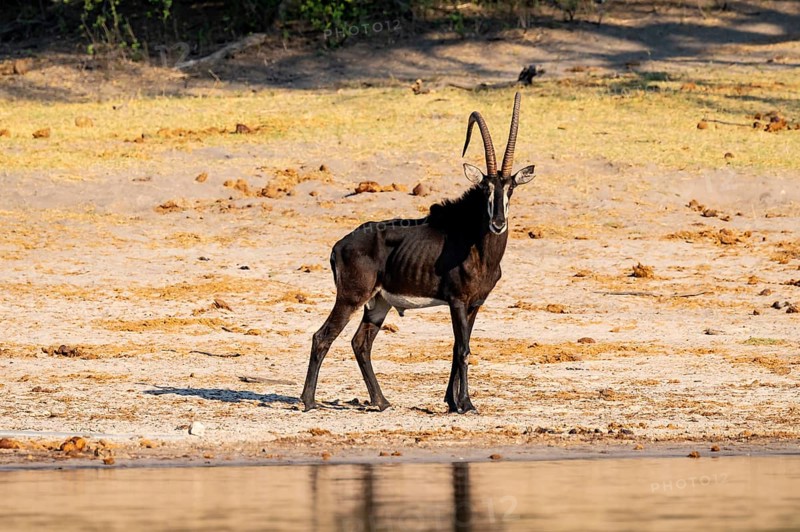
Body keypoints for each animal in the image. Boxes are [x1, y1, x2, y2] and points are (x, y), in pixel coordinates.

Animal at [301, 92, 535, 413]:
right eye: (486, 187)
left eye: (510, 188)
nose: (498, 223)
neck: (476, 243)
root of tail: (339, 245)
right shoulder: (457, 301)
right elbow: (463, 348)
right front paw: (465, 404)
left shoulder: (475, 304)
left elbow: (457, 347)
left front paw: (452, 401)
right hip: (350, 298)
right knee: (322, 336)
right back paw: (309, 401)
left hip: (378, 303)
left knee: (361, 343)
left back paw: (381, 401)